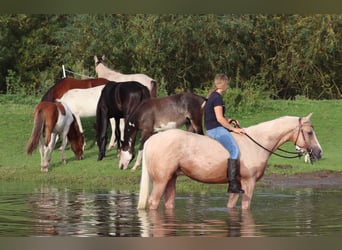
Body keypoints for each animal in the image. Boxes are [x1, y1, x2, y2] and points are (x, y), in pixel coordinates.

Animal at [137, 114, 324, 210]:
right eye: (309, 132)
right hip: (161, 181)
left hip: (171, 179)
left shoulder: (238, 185)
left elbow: (231, 206)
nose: (319, 153)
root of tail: (151, 140)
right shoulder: (249, 183)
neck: (256, 142)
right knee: (153, 203)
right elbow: (246, 208)